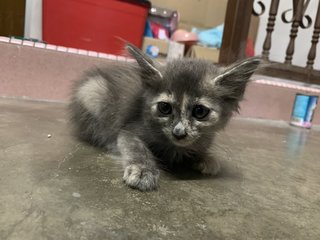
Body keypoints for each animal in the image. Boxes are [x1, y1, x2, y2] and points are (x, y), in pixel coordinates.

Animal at [69, 43, 260, 191]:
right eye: (165, 108)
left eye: (200, 111)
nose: (179, 132)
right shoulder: (128, 130)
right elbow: (137, 147)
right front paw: (143, 170)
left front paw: (205, 157)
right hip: (92, 93)